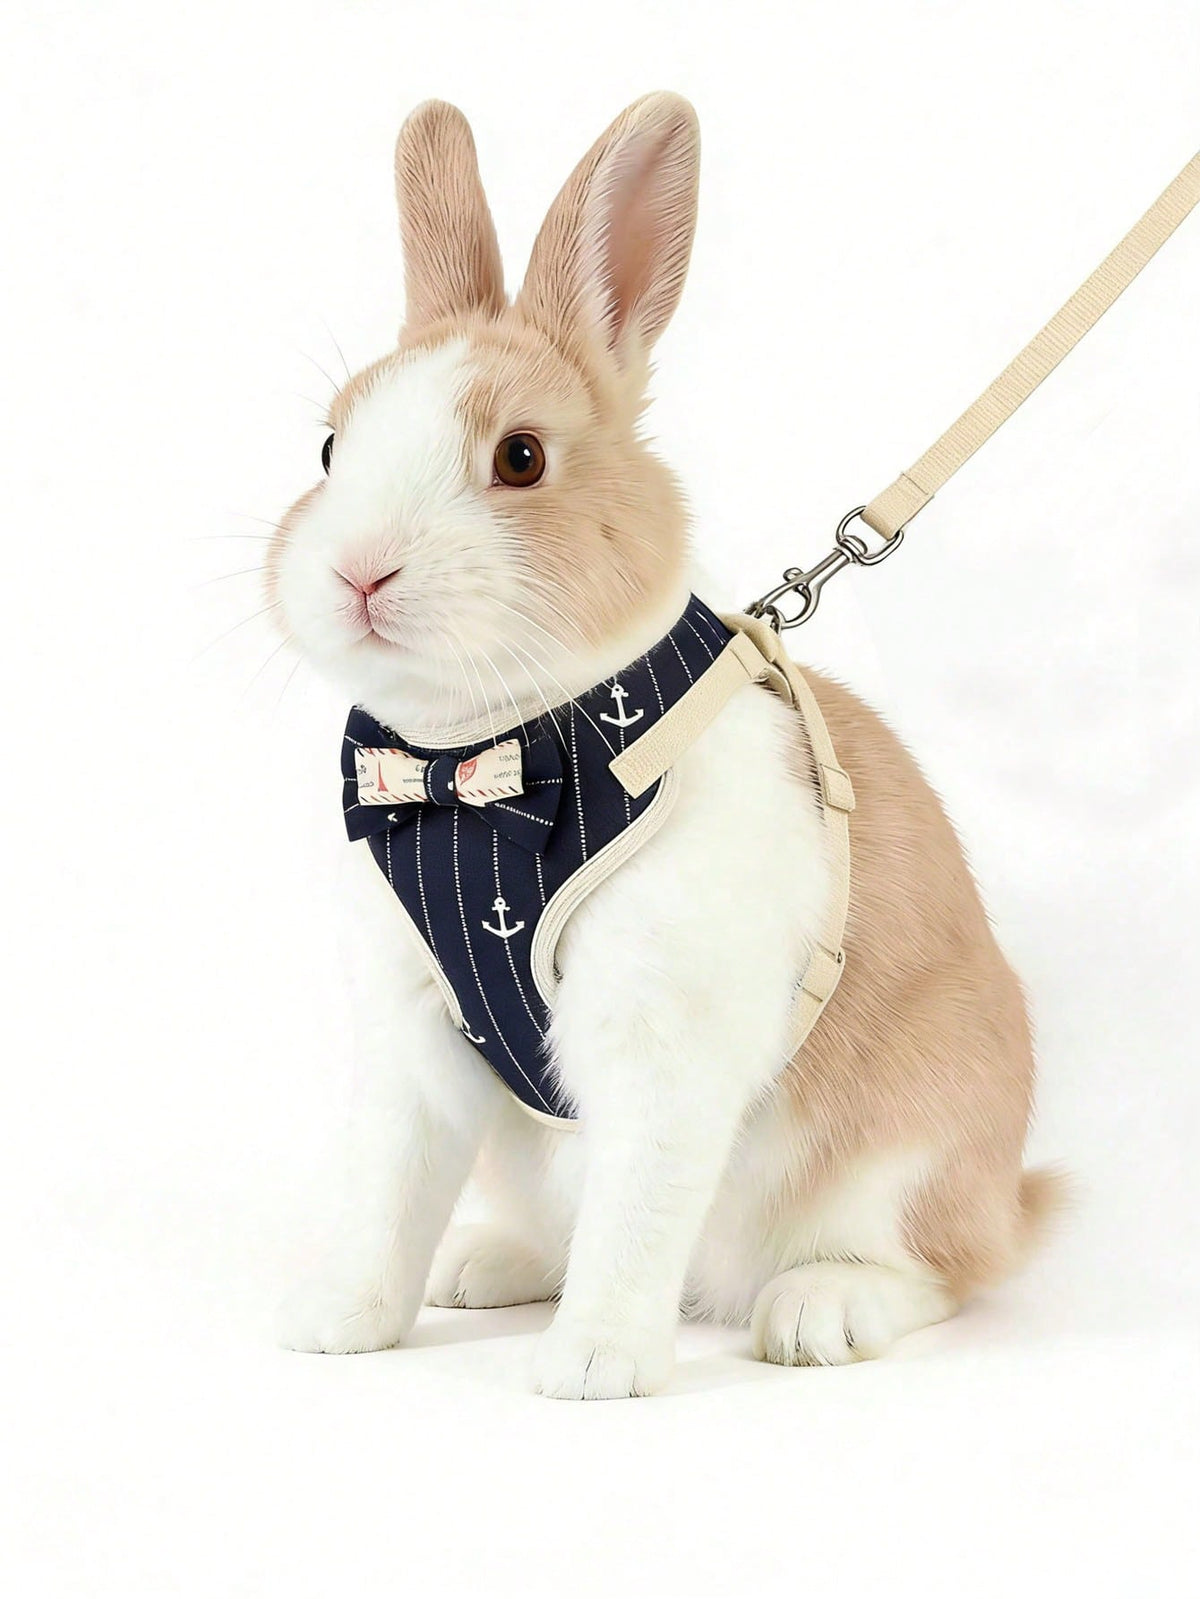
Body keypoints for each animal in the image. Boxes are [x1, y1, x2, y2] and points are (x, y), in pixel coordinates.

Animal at [271, 93, 1059, 1399]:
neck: (478, 774)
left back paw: (816, 1314)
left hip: (908, 1148)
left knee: (938, 1268)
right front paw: (337, 1324)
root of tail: (1014, 1196)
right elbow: (388, 1192)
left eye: (521, 458)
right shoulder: (419, 1036)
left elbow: (638, 1206)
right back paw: (486, 1266)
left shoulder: (664, 1035)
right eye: (330, 450)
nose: (358, 573)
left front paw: (593, 1367)